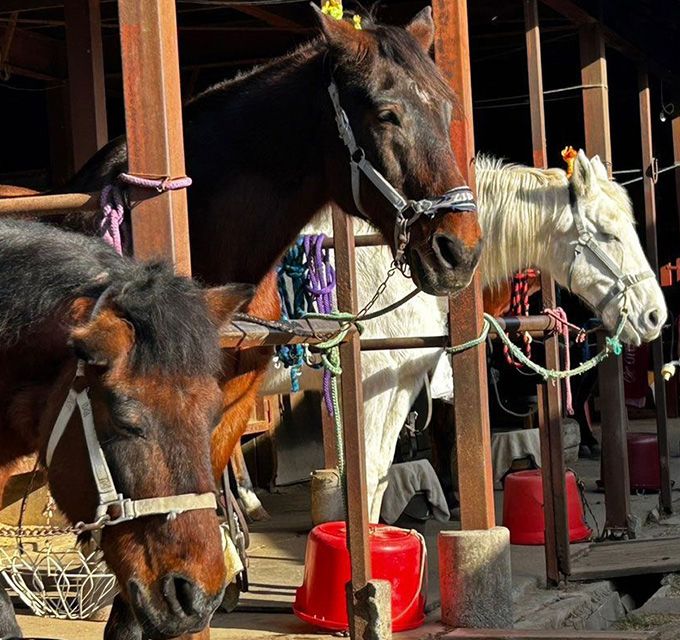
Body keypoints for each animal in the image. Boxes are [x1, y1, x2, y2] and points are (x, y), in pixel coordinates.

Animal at [259, 150, 667, 521]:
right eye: (608, 233)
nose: (654, 315)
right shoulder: (371, 382)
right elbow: (365, 481)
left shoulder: (401, 383)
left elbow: (375, 482)